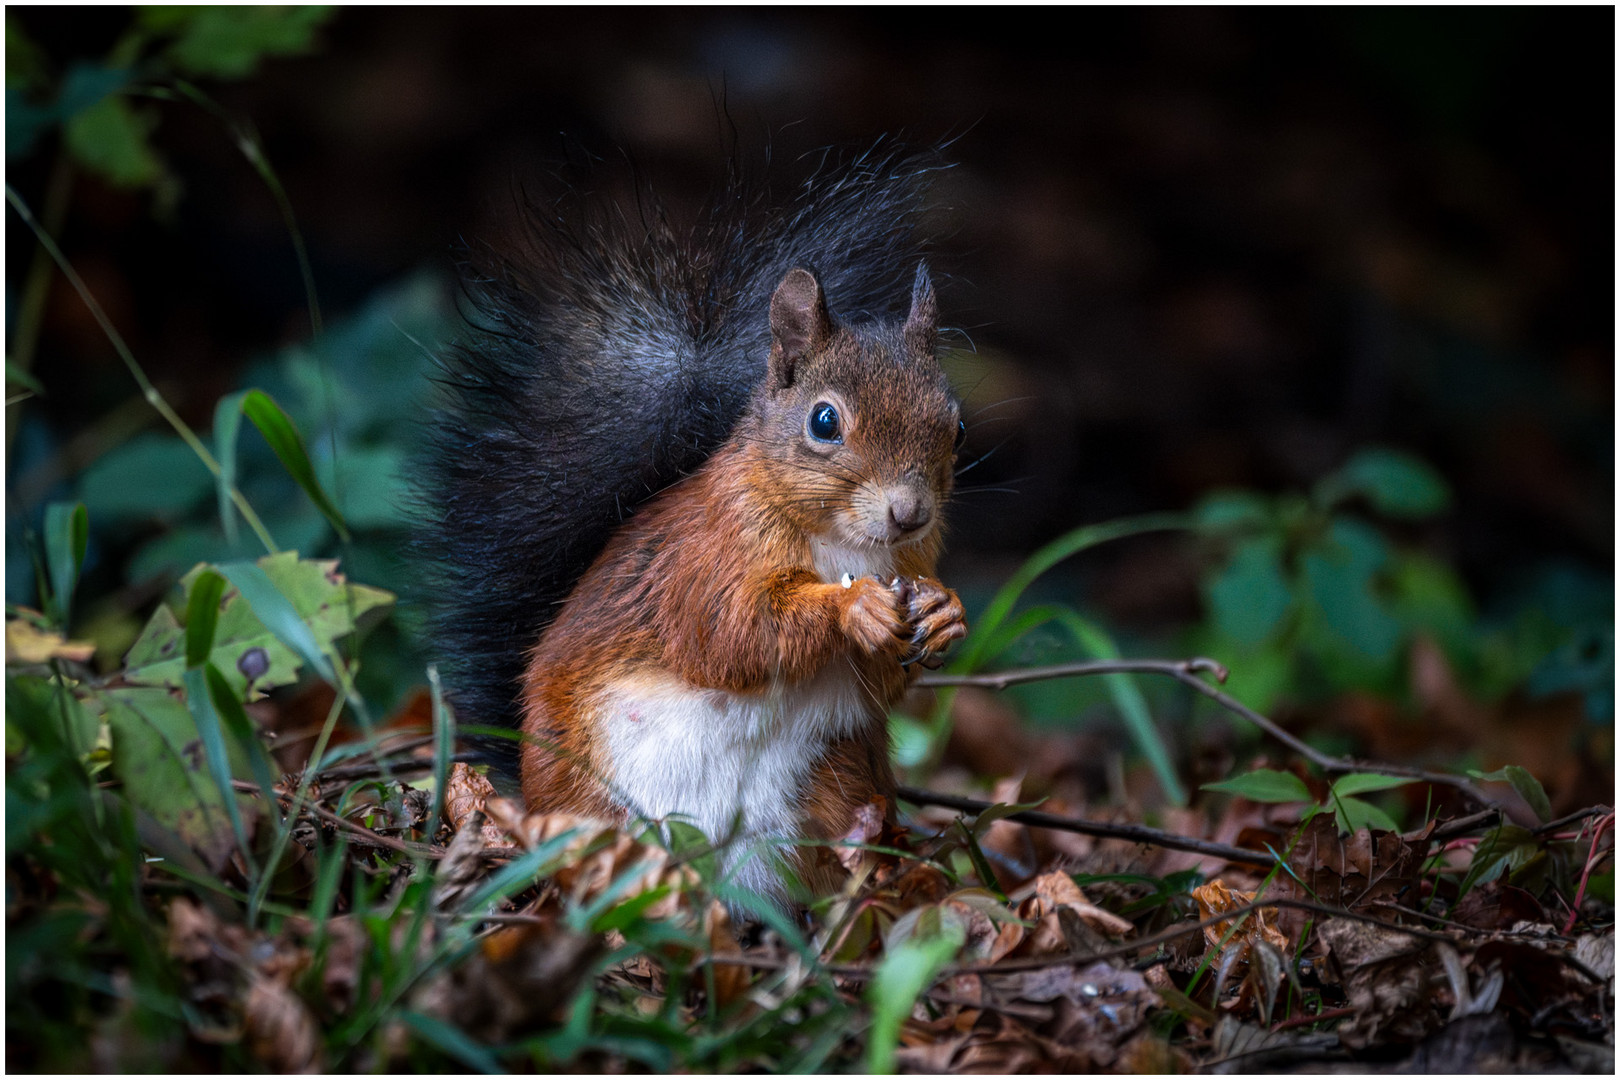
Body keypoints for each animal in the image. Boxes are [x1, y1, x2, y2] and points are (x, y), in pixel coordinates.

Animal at [424, 148, 965, 906]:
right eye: (824, 421)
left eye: (957, 426)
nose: (909, 513)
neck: (844, 544)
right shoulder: (703, 557)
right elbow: (731, 631)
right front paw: (853, 608)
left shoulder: (913, 561)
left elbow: (882, 683)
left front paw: (945, 616)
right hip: (596, 801)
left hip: (830, 781)